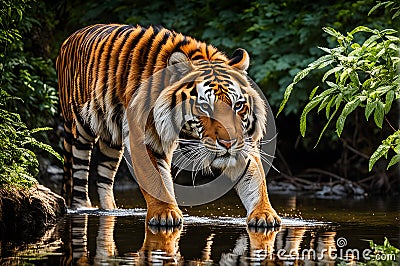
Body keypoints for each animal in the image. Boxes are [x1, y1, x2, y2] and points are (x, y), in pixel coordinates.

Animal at [56, 23, 282, 227]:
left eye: (238, 106)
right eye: (205, 107)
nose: (229, 143)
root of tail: (70, 37)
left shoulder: (244, 143)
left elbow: (256, 181)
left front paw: (265, 214)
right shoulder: (144, 138)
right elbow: (156, 180)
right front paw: (165, 214)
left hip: (111, 141)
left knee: (104, 179)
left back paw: (110, 211)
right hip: (79, 130)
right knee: (78, 173)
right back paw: (82, 207)